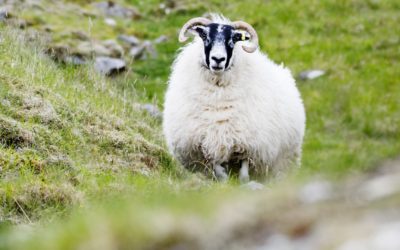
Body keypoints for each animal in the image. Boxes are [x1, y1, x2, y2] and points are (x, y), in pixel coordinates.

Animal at [162, 15, 306, 184]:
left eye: (233, 39)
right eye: (205, 36)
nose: (218, 59)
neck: (218, 95)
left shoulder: (248, 146)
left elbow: (244, 175)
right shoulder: (207, 145)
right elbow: (219, 172)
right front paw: (225, 182)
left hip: (284, 162)